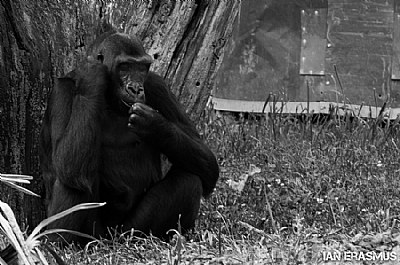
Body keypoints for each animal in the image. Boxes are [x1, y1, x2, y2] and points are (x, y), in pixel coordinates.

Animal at [40, 31, 219, 241]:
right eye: (124, 67)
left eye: (142, 68)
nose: (136, 88)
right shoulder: (62, 91)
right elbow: (67, 162)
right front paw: (92, 76)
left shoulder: (157, 86)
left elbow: (208, 163)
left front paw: (155, 125)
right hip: (94, 236)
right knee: (73, 177)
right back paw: (58, 244)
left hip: (132, 231)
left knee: (189, 180)